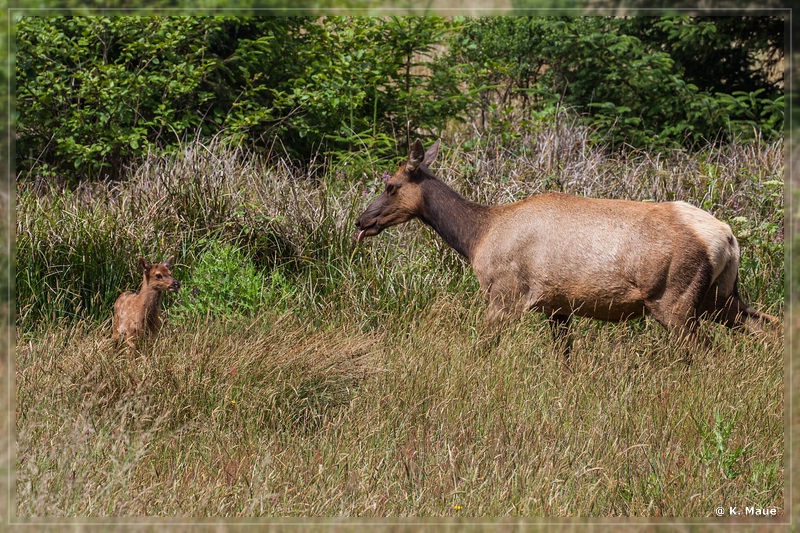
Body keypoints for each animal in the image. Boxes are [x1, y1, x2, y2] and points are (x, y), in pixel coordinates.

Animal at [354, 139, 776, 356]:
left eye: (391, 185)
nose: (361, 221)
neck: (478, 237)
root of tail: (728, 237)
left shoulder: (505, 295)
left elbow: (482, 348)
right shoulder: (557, 306)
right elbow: (565, 358)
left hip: (676, 298)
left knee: (707, 349)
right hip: (720, 297)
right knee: (765, 325)